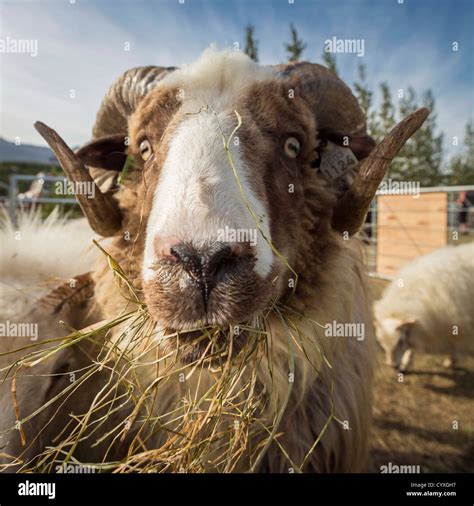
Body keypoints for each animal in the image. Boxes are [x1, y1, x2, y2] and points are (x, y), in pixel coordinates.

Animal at [374, 242, 474, 372]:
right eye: (381, 343)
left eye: (400, 342)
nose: (394, 366)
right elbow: (411, 346)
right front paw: (406, 363)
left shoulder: (455, 320)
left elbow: (453, 342)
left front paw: (451, 360)